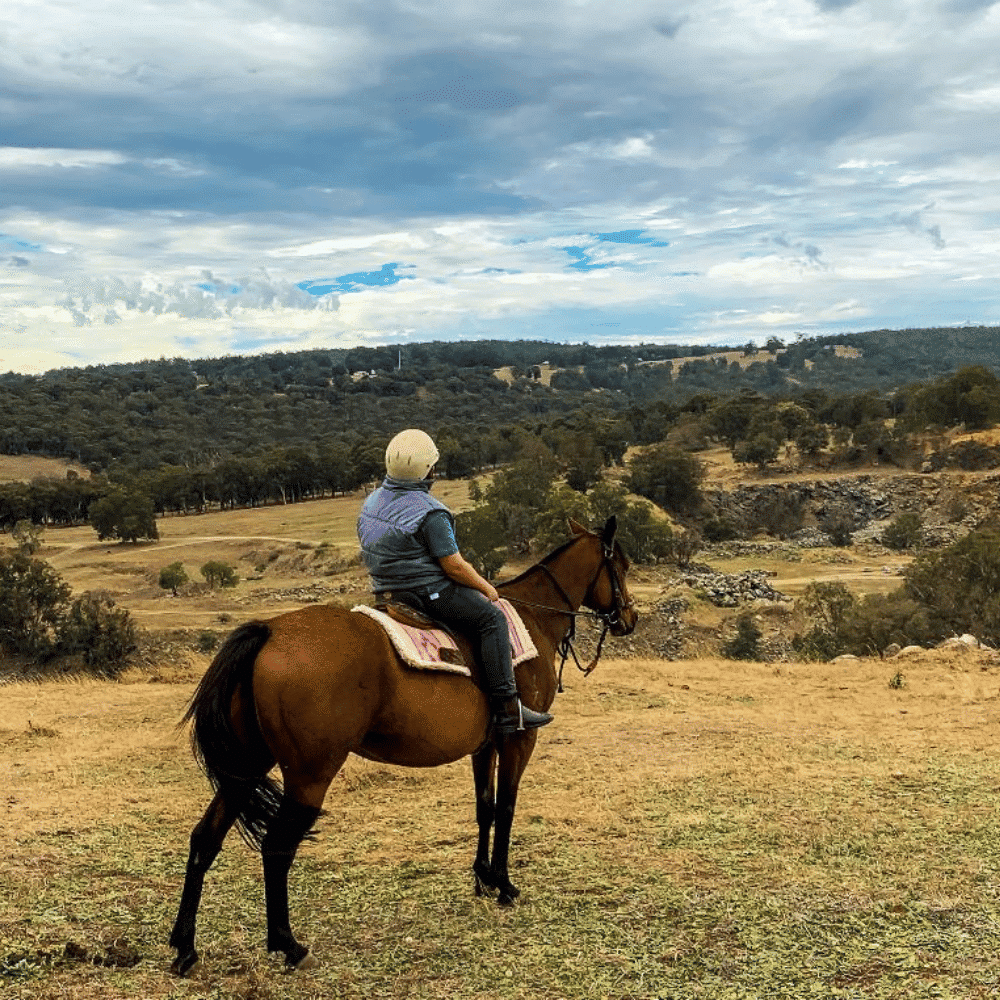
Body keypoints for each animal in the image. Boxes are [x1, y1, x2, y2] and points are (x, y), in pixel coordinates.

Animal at [168, 520, 636, 972]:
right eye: (623, 565)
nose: (629, 618)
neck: (532, 615)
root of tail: (268, 632)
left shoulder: (484, 745)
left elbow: (484, 807)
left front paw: (482, 877)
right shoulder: (519, 738)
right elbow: (505, 808)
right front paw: (503, 884)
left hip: (244, 770)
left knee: (204, 839)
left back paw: (185, 948)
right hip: (309, 776)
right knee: (277, 847)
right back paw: (289, 946)